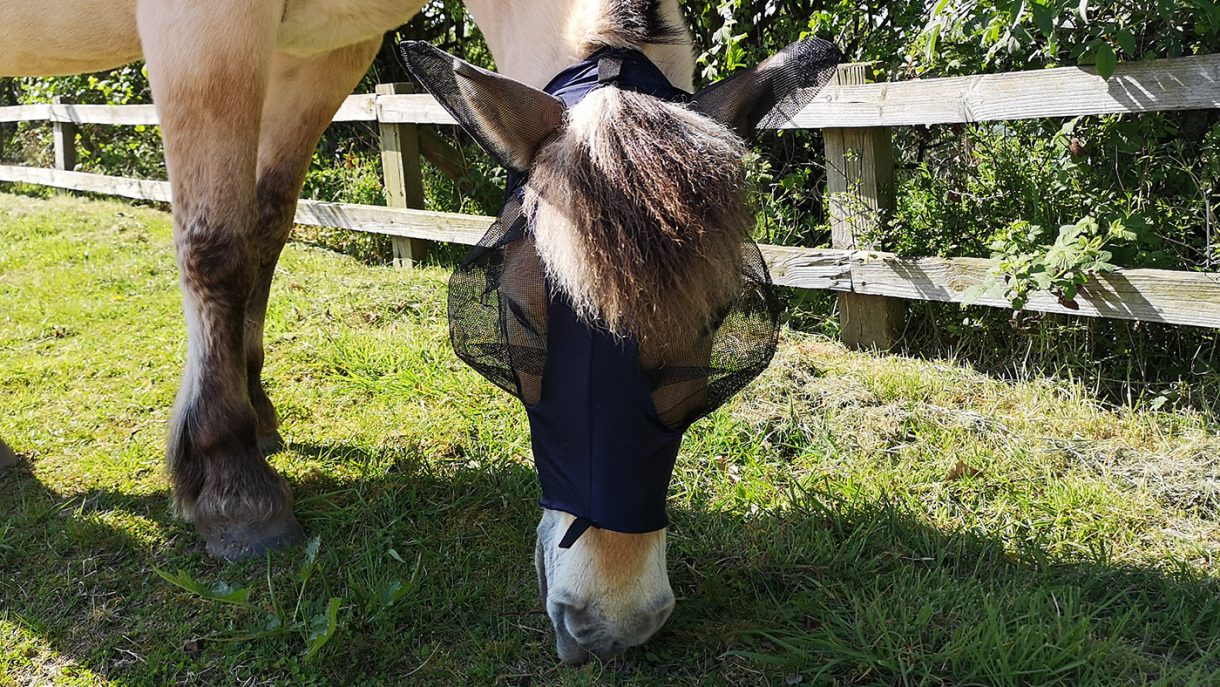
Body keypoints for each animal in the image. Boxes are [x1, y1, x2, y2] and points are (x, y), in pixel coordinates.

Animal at [0, 0, 833, 664]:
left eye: (716, 323)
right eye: (519, 315)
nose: (613, 620)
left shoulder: (322, 52)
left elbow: (268, 223)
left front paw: (257, 414)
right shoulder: (203, 27)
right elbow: (218, 246)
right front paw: (233, 482)